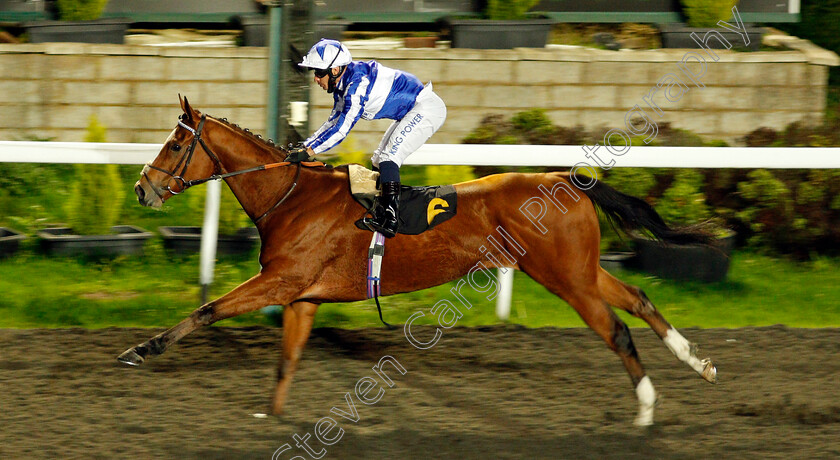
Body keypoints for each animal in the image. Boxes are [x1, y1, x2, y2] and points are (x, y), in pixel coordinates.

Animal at [120, 97, 716, 428]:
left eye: (175, 145)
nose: (143, 188)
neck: (292, 198)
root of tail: (567, 180)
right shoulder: (303, 296)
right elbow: (286, 361)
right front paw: (275, 416)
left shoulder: (279, 281)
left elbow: (207, 311)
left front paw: (138, 351)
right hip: (579, 270)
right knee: (639, 299)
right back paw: (697, 363)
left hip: (565, 278)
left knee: (616, 329)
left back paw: (645, 410)